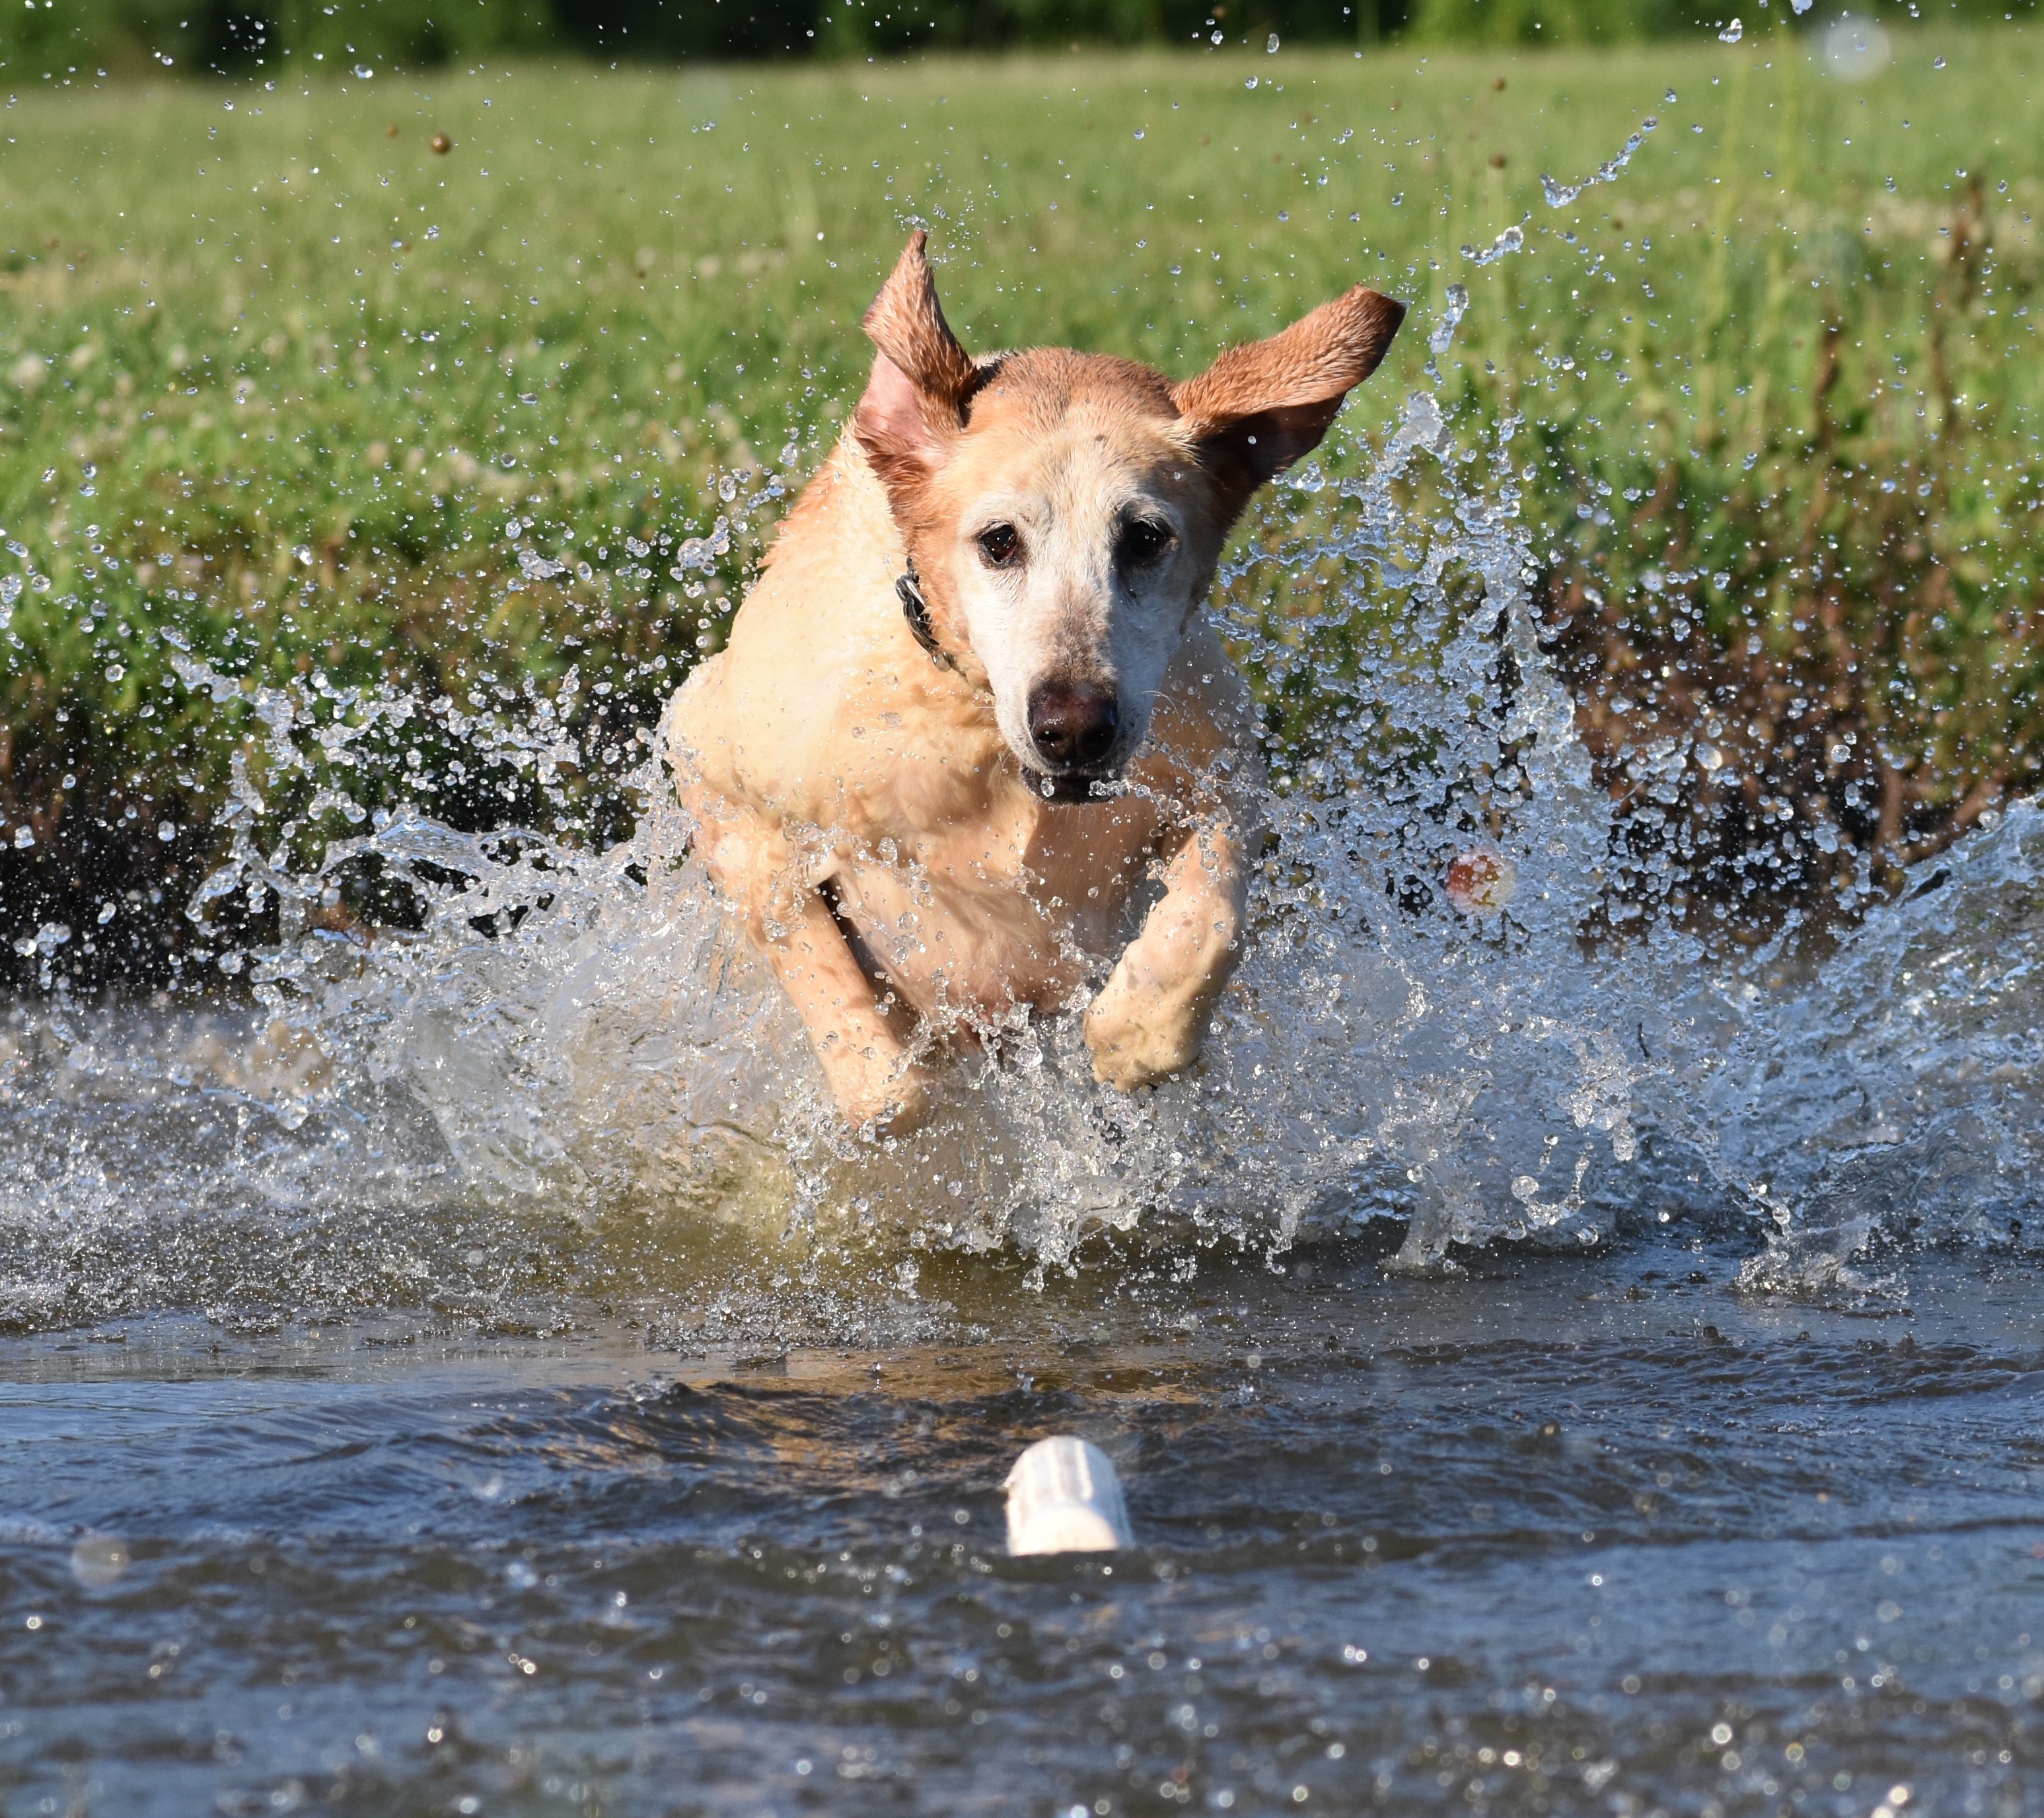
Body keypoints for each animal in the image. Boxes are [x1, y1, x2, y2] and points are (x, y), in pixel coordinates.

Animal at [670, 234, 1406, 1128]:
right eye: (998, 541)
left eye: (1146, 538)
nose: (1075, 728)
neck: (979, 731)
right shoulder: (710, 754)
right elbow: (874, 1063)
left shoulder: (1218, 757)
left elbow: (1212, 913)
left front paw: (1134, 1033)